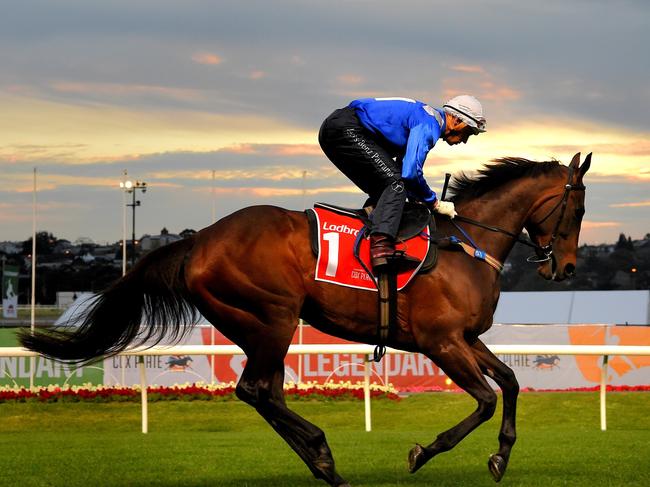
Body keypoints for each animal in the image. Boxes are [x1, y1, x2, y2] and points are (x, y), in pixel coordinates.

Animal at [20, 152, 588, 484]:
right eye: (578, 210)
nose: (565, 267)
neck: (466, 245)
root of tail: (198, 241)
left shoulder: (466, 338)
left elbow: (510, 382)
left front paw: (501, 456)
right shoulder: (441, 341)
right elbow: (487, 399)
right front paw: (423, 452)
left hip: (258, 326)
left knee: (266, 393)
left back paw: (322, 464)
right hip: (272, 316)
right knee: (254, 389)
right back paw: (322, 451)